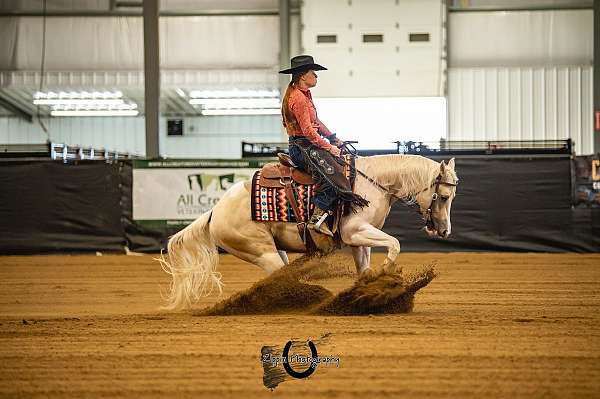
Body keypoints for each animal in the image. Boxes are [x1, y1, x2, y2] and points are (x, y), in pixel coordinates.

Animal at [157, 154, 458, 310]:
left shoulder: (359, 240)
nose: (444, 230)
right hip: (261, 252)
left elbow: (365, 269)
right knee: (279, 280)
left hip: (275, 250)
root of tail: (214, 212)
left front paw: (368, 292)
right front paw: (387, 273)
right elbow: (395, 243)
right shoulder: (354, 230)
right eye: (443, 197)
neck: (372, 184)